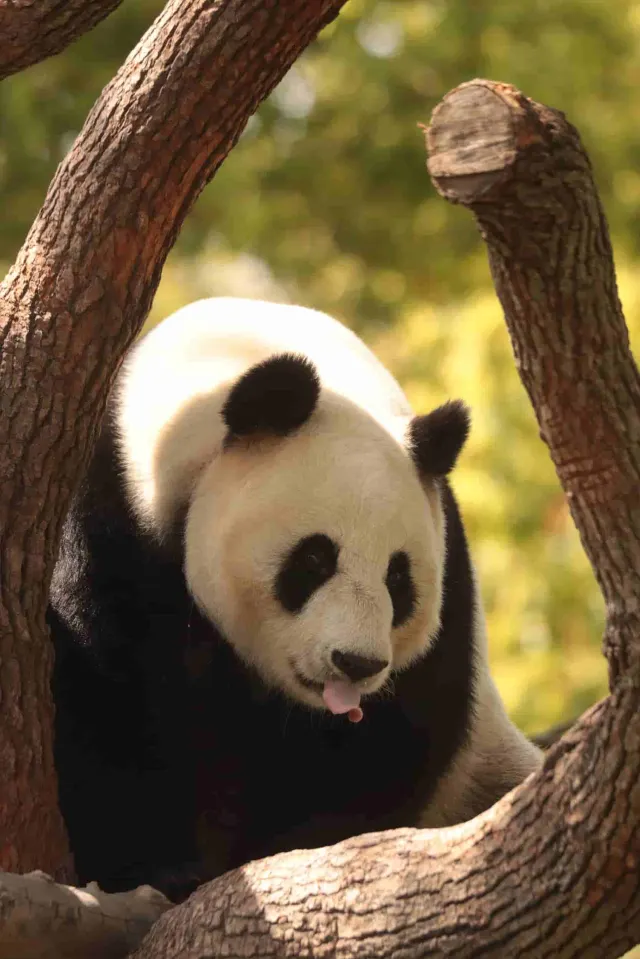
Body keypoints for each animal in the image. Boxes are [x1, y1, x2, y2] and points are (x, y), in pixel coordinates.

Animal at [47, 298, 544, 900]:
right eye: (314, 560)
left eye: (398, 579)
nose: (357, 663)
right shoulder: (109, 521)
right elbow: (104, 705)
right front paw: (159, 869)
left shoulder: (450, 593)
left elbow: (385, 753)